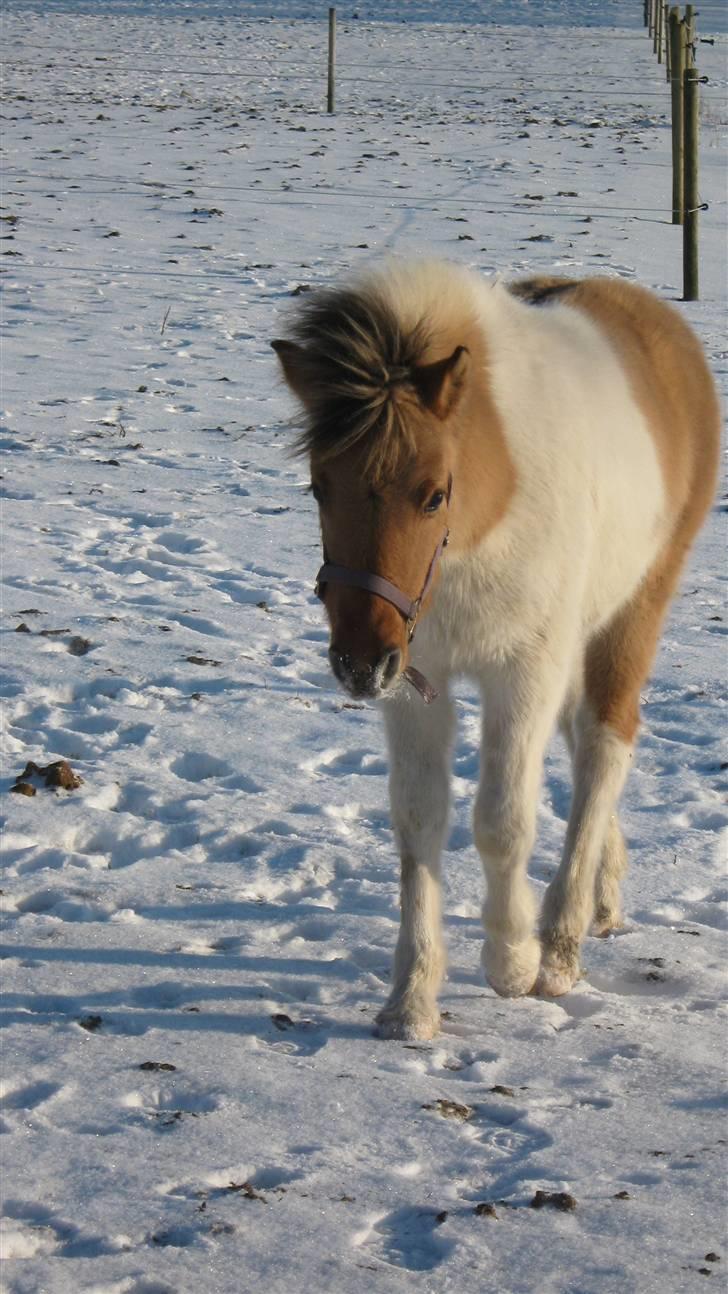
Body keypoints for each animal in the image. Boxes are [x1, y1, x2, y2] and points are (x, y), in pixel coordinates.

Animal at [274, 262, 724, 1040]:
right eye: (318, 485)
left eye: (432, 495)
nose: (357, 663)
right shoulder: (415, 680)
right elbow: (420, 821)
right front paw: (411, 1001)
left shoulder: (524, 670)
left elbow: (503, 821)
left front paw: (512, 958)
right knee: (582, 749)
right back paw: (602, 894)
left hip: (630, 613)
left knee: (604, 746)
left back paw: (561, 943)